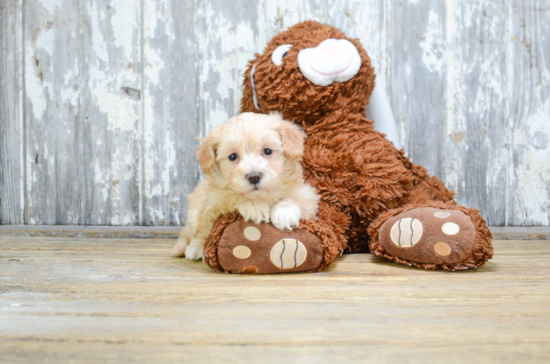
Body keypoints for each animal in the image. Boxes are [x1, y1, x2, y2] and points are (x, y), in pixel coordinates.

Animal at [171, 112, 320, 260]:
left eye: (267, 151)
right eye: (232, 156)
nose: (254, 177)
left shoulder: (307, 194)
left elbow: (294, 199)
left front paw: (284, 213)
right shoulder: (214, 201)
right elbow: (232, 197)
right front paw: (255, 207)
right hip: (195, 210)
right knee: (197, 231)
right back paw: (194, 248)